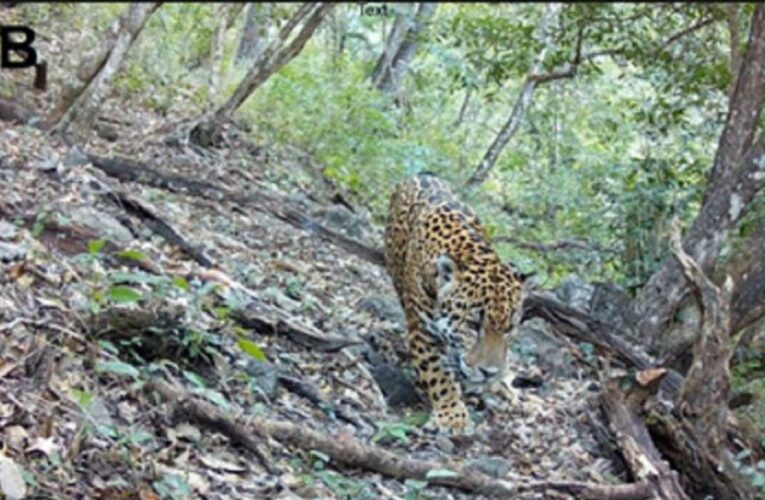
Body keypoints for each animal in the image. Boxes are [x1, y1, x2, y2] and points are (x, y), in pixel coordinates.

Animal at [383, 172, 526, 432]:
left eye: (509, 329)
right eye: (472, 325)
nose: (489, 373)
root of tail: (422, 174)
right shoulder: (422, 330)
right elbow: (437, 374)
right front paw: (452, 416)